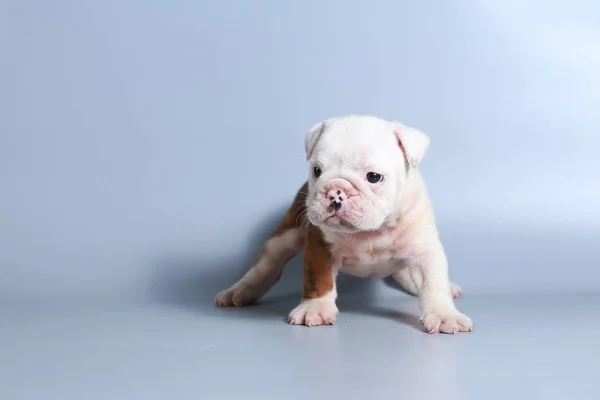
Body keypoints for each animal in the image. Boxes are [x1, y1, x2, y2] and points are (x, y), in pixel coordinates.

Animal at [216, 115, 474, 334]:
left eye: (373, 177)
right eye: (317, 171)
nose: (336, 191)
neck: (371, 231)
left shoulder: (424, 250)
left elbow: (433, 282)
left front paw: (444, 314)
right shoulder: (319, 244)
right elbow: (319, 280)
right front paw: (315, 309)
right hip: (283, 237)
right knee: (266, 266)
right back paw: (238, 292)